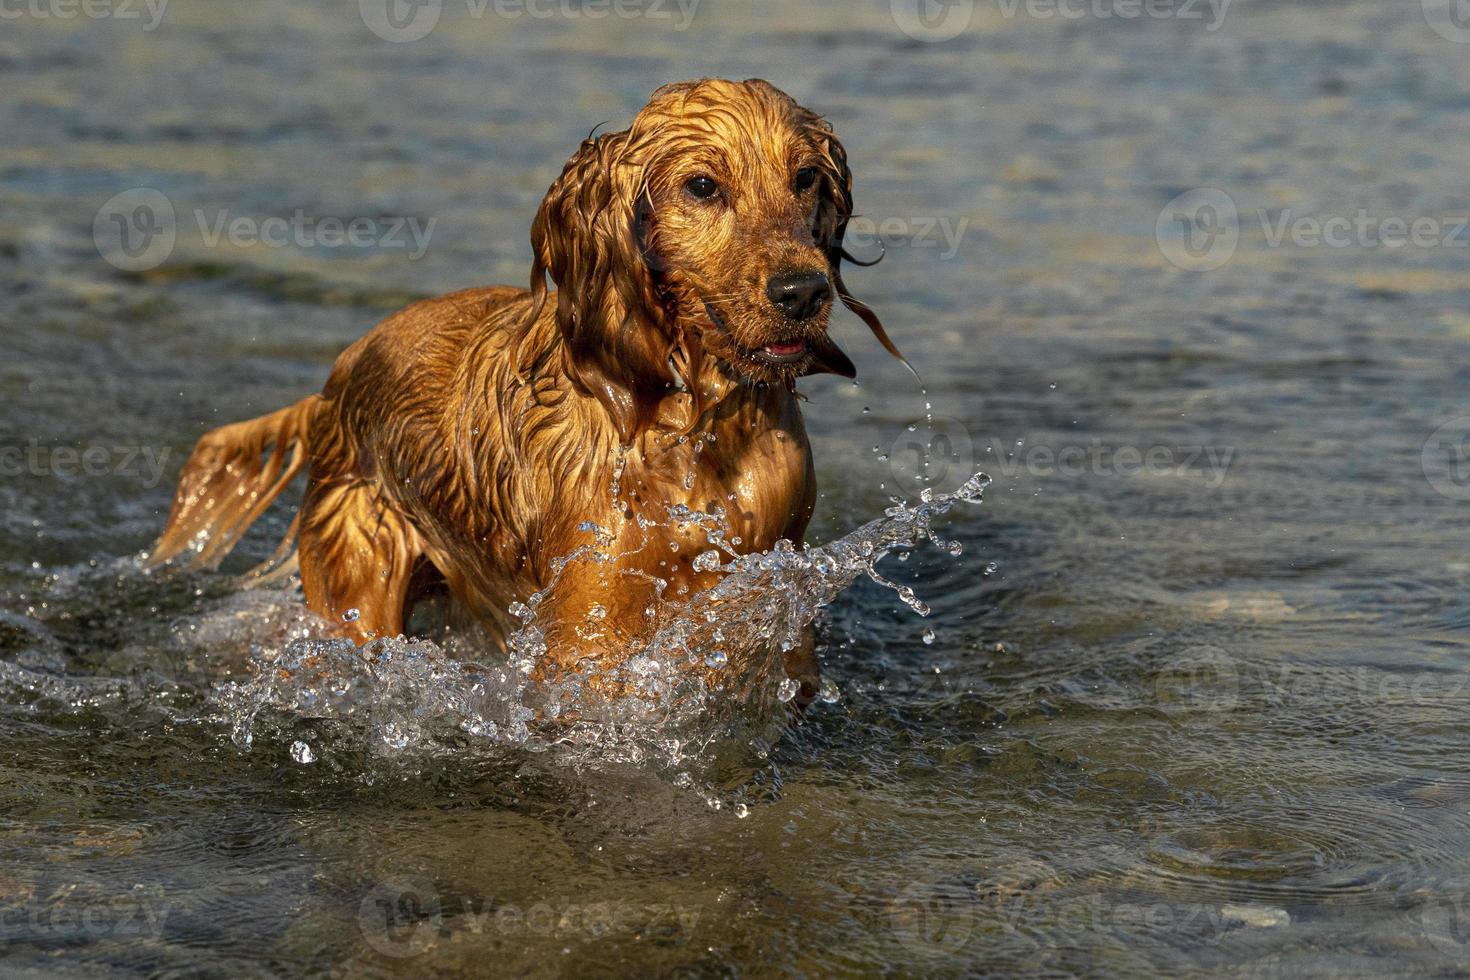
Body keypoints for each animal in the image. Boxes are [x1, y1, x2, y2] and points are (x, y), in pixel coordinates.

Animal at [152, 80, 905, 702]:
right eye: (701, 186)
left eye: (805, 178)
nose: (803, 291)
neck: (688, 424)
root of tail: (335, 382)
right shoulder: (588, 627)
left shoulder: (776, 589)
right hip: (358, 581)